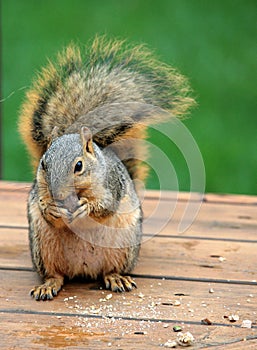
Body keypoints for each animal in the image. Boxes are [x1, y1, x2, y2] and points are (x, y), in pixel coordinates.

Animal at [18, 36, 194, 300]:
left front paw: (86, 207)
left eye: (79, 166)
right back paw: (48, 285)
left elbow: (105, 207)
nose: (59, 195)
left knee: (110, 270)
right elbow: (45, 209)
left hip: (123, 248)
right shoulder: (40, 192)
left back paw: (117, 278)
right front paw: (51, 209)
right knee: (55, 274)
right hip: (43, 249)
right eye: (44, 164)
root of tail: (83, 269)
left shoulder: (112, 185)